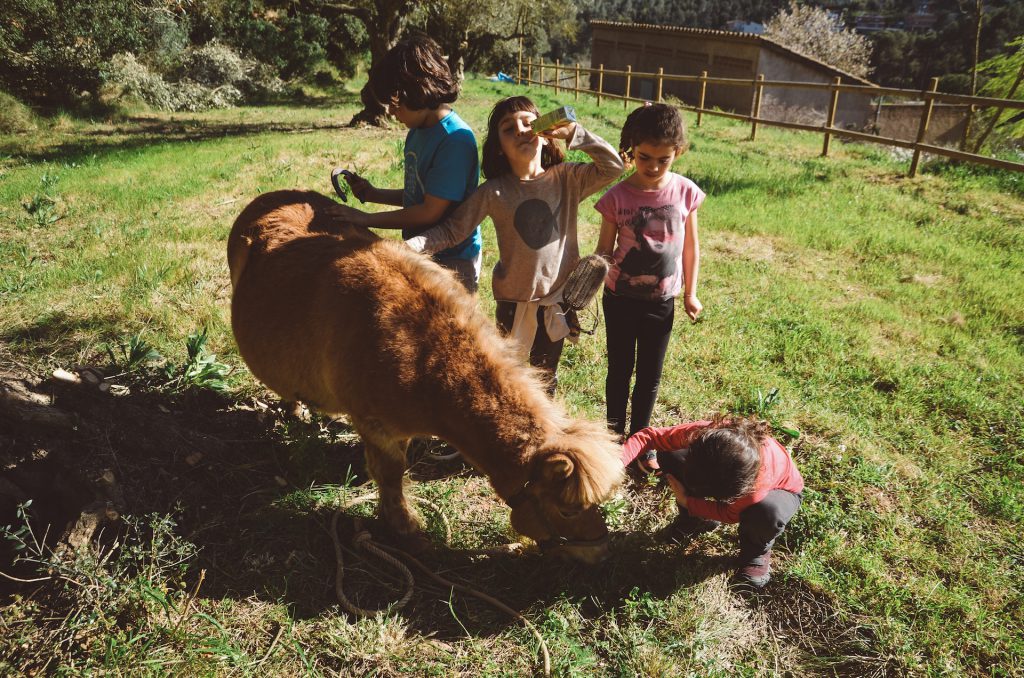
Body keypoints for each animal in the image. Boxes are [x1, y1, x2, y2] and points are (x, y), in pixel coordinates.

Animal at [227, 189, 622, 561]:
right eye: (568, 510)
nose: (601, 551)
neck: (424, 357)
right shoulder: (376, 426)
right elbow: (390, 474)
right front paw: (404, 527)